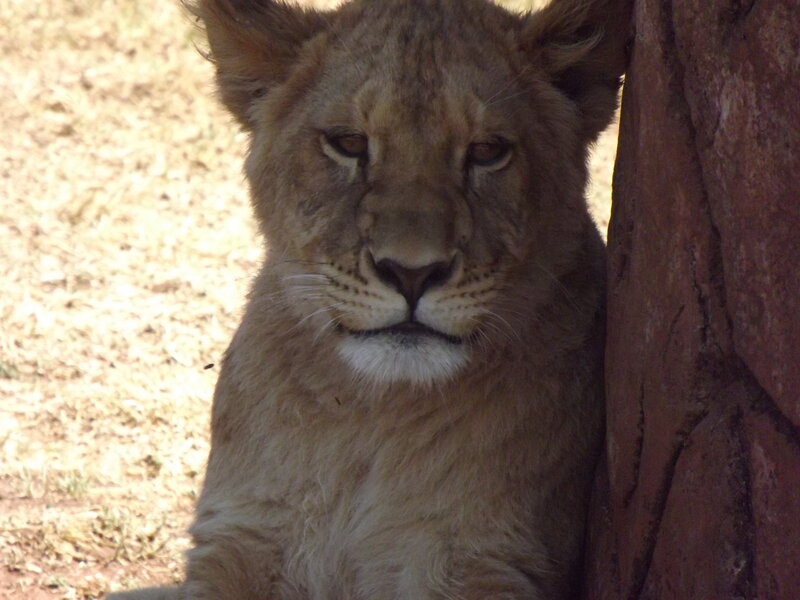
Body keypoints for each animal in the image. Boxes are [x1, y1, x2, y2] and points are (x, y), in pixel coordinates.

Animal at [109, 0, 629, 597]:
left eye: (488, 151)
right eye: (349, 143)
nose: (411, 272)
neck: (368, 415)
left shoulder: (490, 558)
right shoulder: (243, 534)